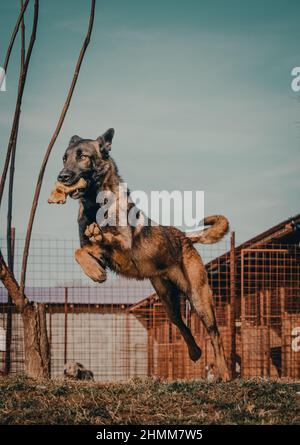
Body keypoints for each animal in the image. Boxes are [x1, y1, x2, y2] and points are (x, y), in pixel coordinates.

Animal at [55, 130, 230, 380]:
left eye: (83, 157)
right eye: (64, 158)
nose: (62, 176)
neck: (94, 205)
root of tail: (185, 238)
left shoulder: (123, 245)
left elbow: (103, 239)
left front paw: (97, 258)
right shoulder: (98, 252)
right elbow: (79, 250)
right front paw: (95, 271)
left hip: (199, 299)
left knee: (215, 335)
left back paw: (224, 372)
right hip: (169, 303)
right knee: (183, 325)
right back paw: (195, 352)